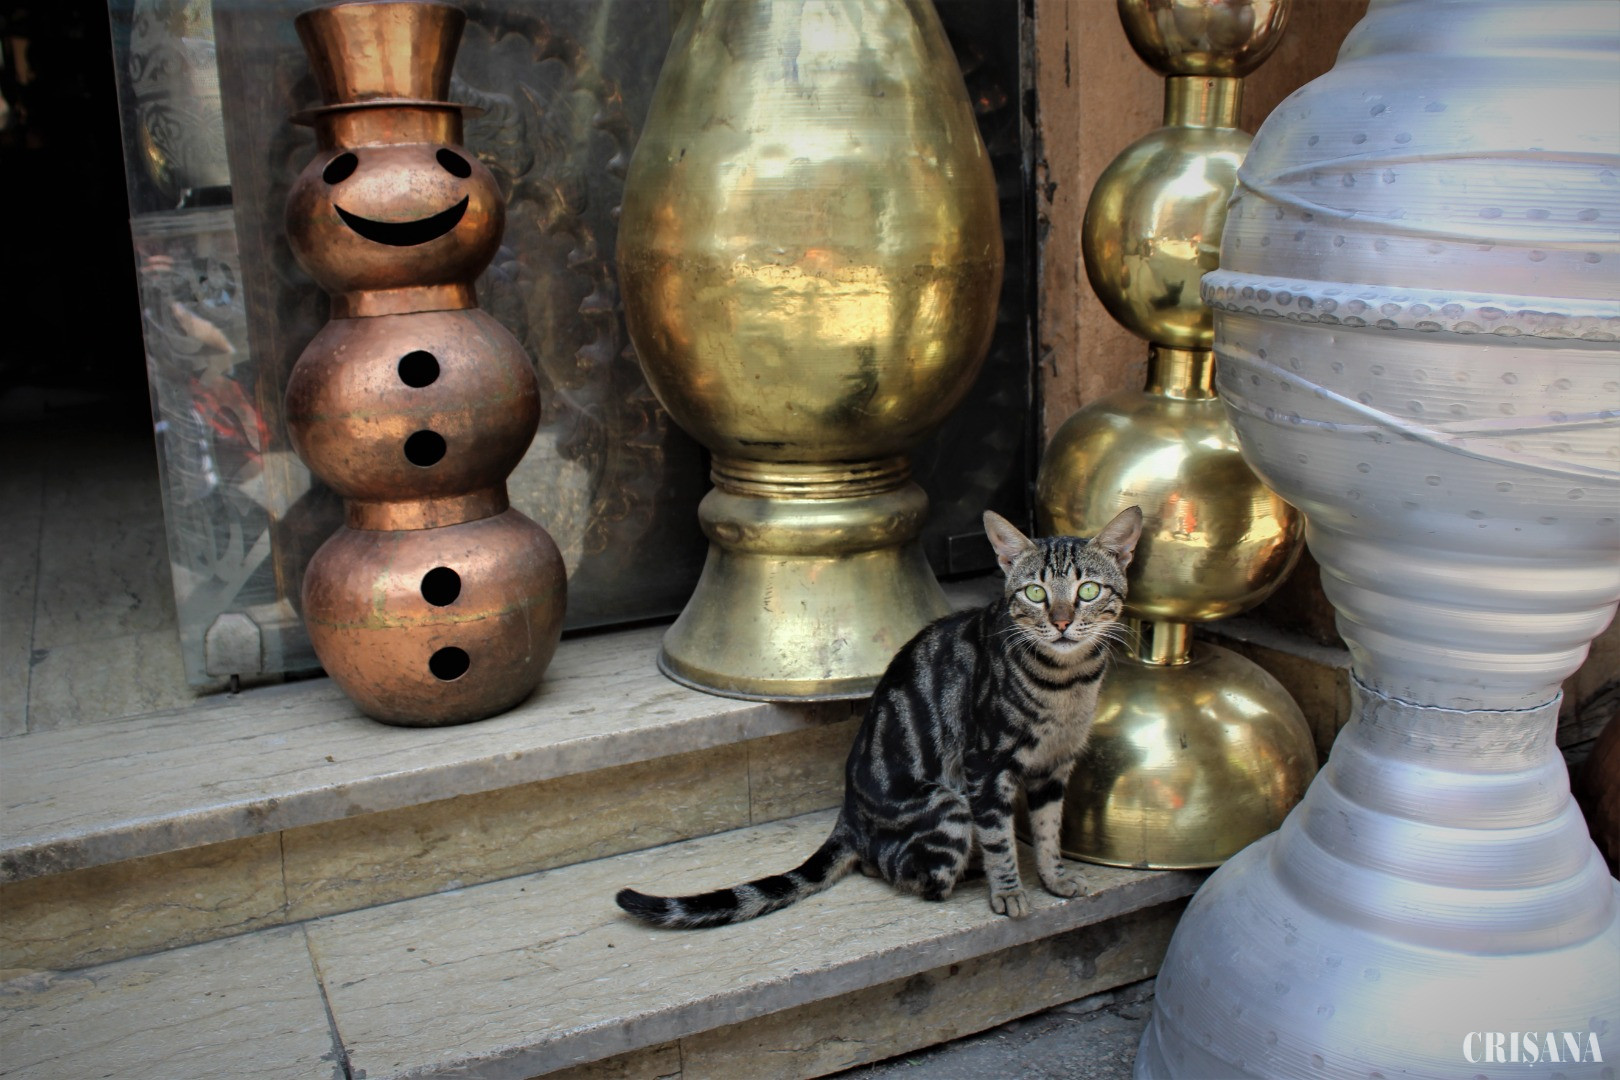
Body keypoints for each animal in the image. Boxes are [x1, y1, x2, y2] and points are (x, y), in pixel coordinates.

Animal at [616, 505, 1143, 928]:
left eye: (1088, 590)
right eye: (1035, 593)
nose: (1060, 621)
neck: (1068, 683)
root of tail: (848, 815)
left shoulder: (1055, 765)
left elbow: (1049, 831)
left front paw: (1055, 880)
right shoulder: (987, 766)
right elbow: (999, 839)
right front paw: (1009, 892)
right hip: (949, 805)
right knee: (897, 868)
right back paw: (966, 869)